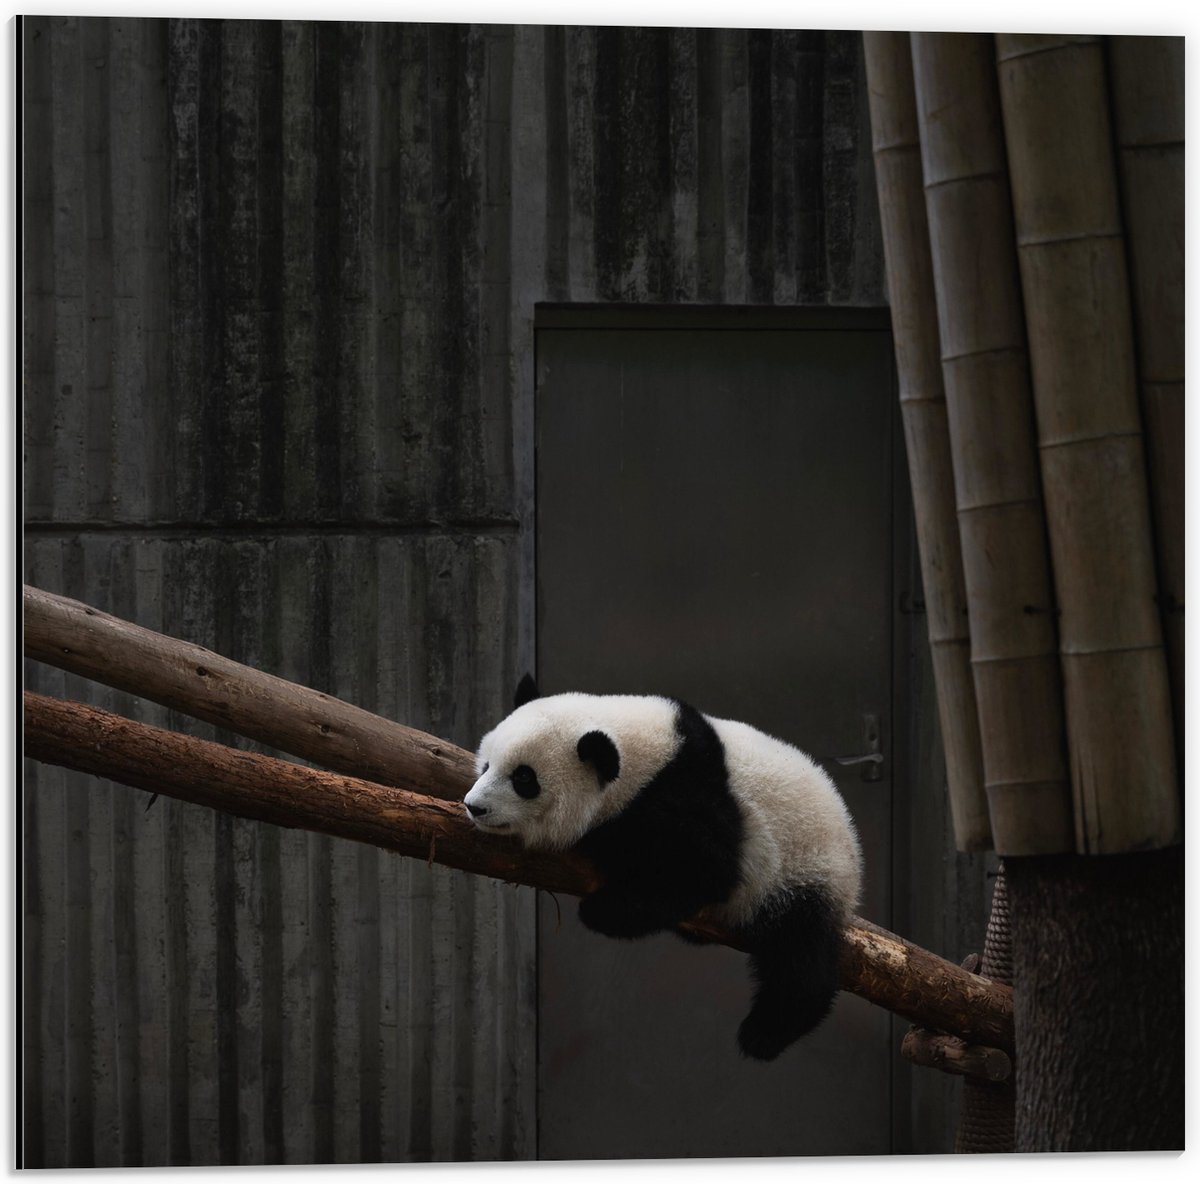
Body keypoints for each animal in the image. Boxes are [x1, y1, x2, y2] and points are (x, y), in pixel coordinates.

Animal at [463, 675, 863, 1061]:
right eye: (486, 764)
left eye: (523, 778)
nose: (474, 807)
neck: (648, 756)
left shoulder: (689, 797)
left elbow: (704, 871)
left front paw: (602, 905)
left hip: (803, 870)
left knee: (798, 955)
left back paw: (766, 1032)